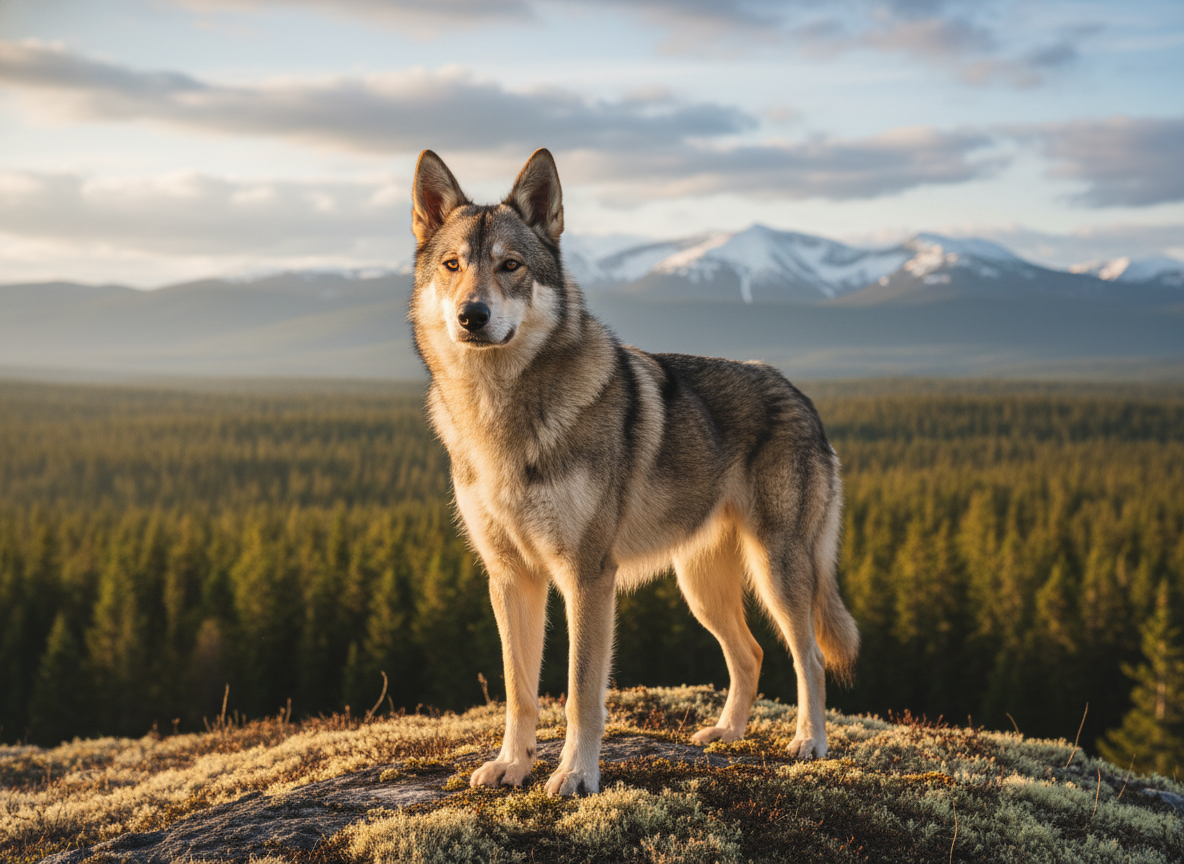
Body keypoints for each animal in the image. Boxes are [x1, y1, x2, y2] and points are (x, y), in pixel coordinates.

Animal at [409, 148, 859, 797]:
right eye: (453, 266)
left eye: (510, 266)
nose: (473, 316)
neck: (500, 413)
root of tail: (799, 393)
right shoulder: (511, 576)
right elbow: (520, 692)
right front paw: (513, 766)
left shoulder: (587, 576)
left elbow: (580, 694)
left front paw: (576, 777)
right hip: (701, 588)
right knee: (750, 654)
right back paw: (727, 734)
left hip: (779, 572)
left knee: (810, 658)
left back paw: (809, 743)